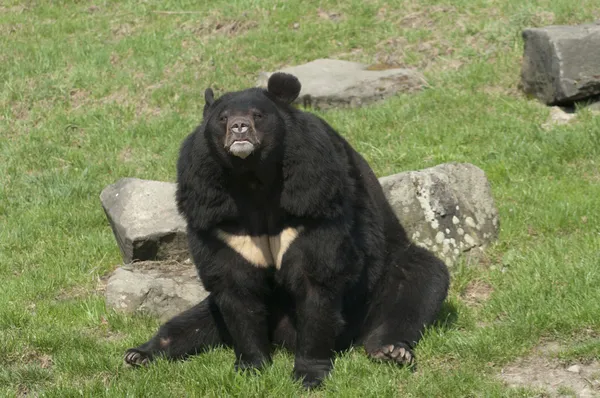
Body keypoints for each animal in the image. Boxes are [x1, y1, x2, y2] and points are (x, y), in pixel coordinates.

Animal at [124, 72, 448, 388]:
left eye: (257, 115)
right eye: (222, 118)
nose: (239, 129)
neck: (252, 176)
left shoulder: (314, 197)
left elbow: (317, 277)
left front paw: (308, 375)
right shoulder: (212, 209)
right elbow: (234, 286)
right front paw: (251, 367)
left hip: (385, 273)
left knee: (417, 284)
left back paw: (392, 350)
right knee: (198, 319)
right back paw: (140, 353)